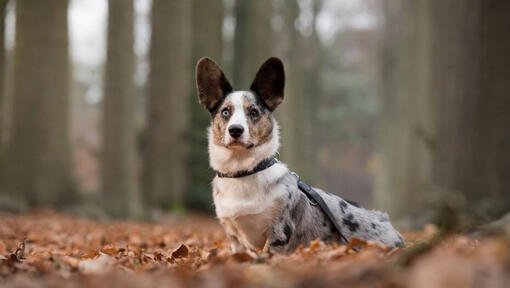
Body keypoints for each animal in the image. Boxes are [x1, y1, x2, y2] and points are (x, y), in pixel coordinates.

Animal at [193, 56, 404, 254]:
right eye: (225, 112)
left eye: (253, 112)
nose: (235, 130)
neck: (244, 171)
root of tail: (390, 226)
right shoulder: (235, 238)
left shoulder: (278, 232)